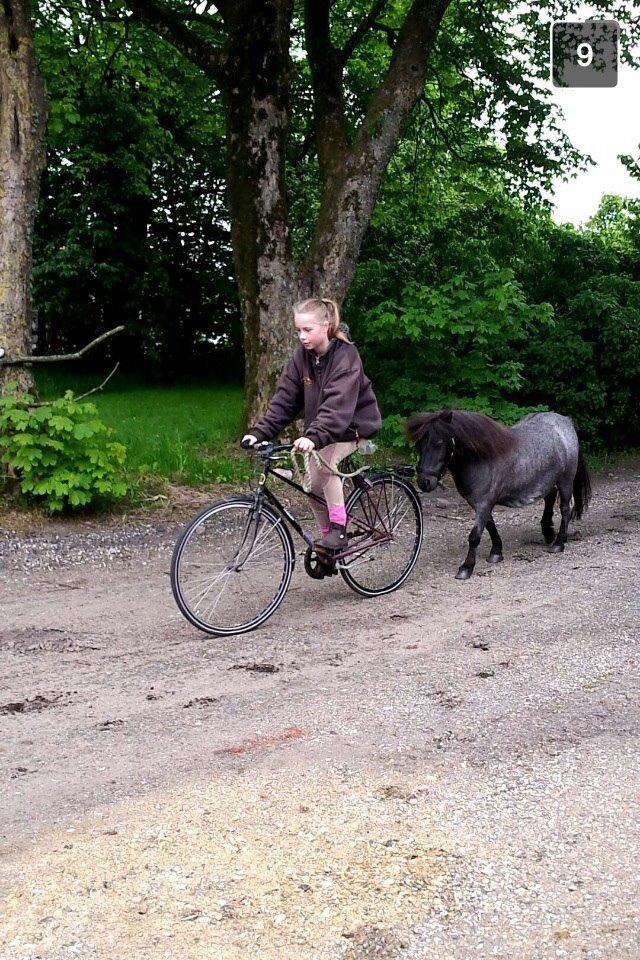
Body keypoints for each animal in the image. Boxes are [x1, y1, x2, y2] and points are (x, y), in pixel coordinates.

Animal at [408, 406, 592, 576]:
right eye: (419, 445)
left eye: (438, 443)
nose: (424, 482)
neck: (481, 459)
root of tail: (565, 421)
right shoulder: (480, 504)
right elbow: (490, 525)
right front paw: (496, 552)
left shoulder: (483, 504)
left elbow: (474, 536)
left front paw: (467, 567)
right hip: (548, 479)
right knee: (550, 499)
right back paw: (548, 533)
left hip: (565, 480)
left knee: (565, 509)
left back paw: (559, 543)